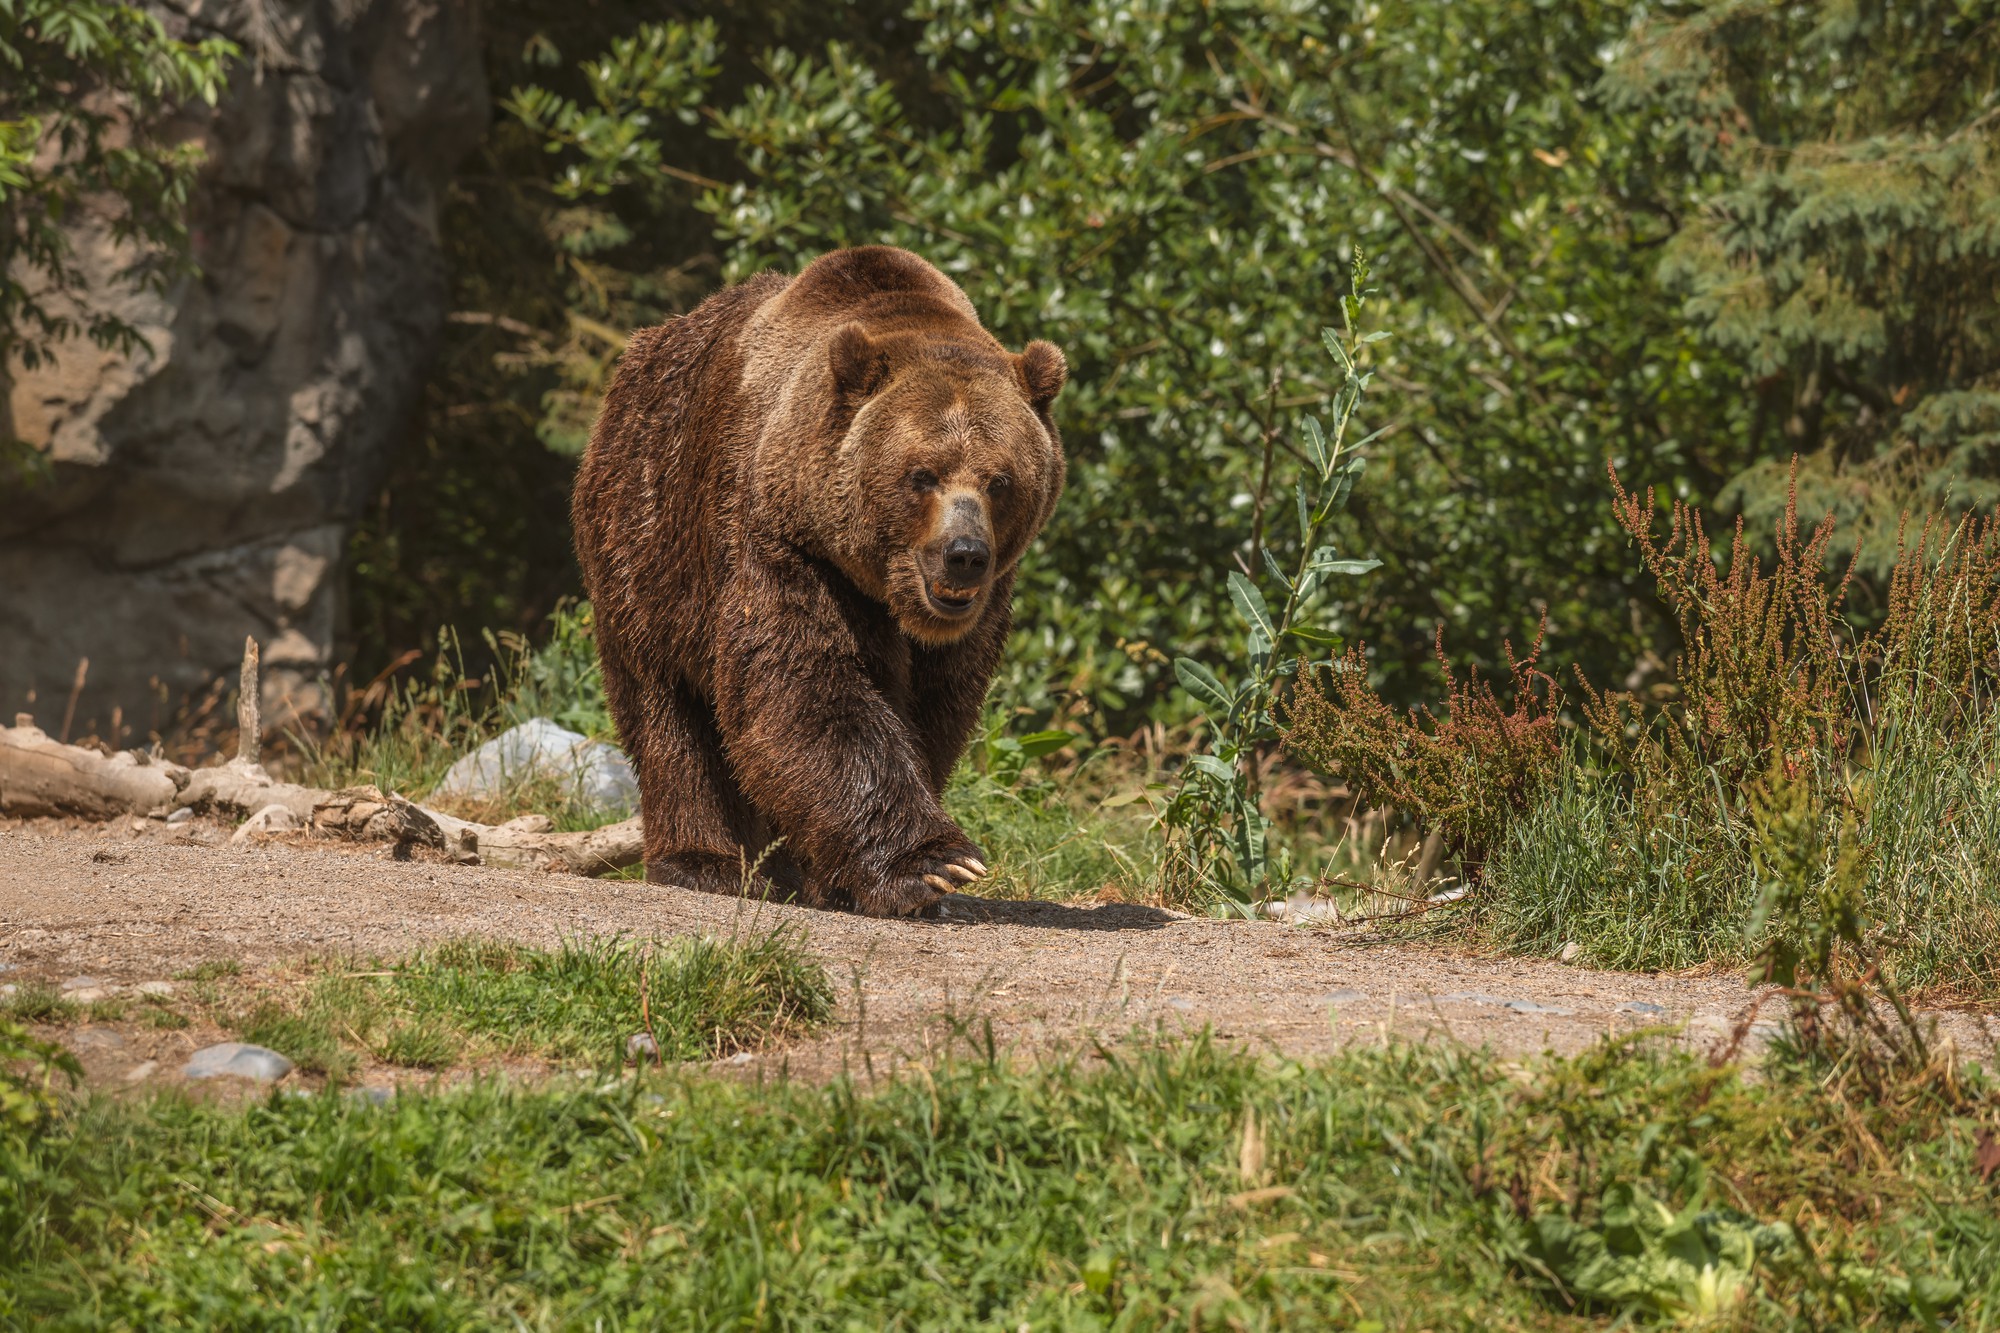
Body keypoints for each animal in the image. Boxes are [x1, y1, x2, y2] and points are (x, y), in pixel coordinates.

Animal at [572, 244, 1072, 912]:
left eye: (999, 480)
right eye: (922, 474)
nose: (964, 554)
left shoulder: (976, 613)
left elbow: (936, 709)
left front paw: (839, 875)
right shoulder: (781, 541)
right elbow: (806, 688)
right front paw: (932, 864)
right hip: (645, 538)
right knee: (667, 710)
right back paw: (703, 861)